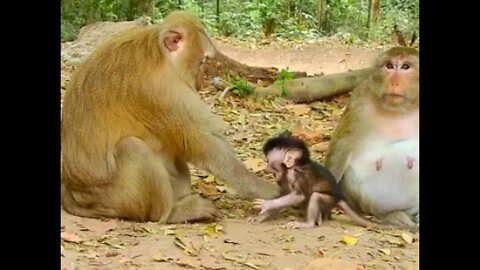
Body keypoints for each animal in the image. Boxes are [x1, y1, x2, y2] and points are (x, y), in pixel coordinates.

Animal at [60, 10, 280, 224]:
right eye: (202, 61)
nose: (201, 83)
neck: (160, 56)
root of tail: (71, 195)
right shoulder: (162, 90)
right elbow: (205, 147)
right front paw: (270, 190)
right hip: (113, 199)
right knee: (132, 148)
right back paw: (171, 214)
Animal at [248, 134, 378, 229]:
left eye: (269, 162)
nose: (266, 168)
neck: (294, 167)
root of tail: (339, 197)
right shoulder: (284, 178)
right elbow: (284, 193)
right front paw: (263, 216)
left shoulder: (299, 176)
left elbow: (299, 196)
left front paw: (267, 204)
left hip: (330, 200)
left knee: (315, 196)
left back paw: (309, 223)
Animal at [324, 47, 418, 230]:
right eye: (389, 66)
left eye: (405, 67)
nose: (394, 82)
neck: (401, 109)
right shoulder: (359, 100)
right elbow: (341, 147)